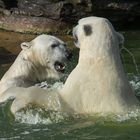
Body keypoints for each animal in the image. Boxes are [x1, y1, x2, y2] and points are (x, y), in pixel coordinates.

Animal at [0, 16, 139, 115]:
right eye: (54, 45)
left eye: (78, 22)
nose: (69, 55)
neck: (99, 60)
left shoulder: (78, 89)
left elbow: (58, 100)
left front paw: (15, 102)